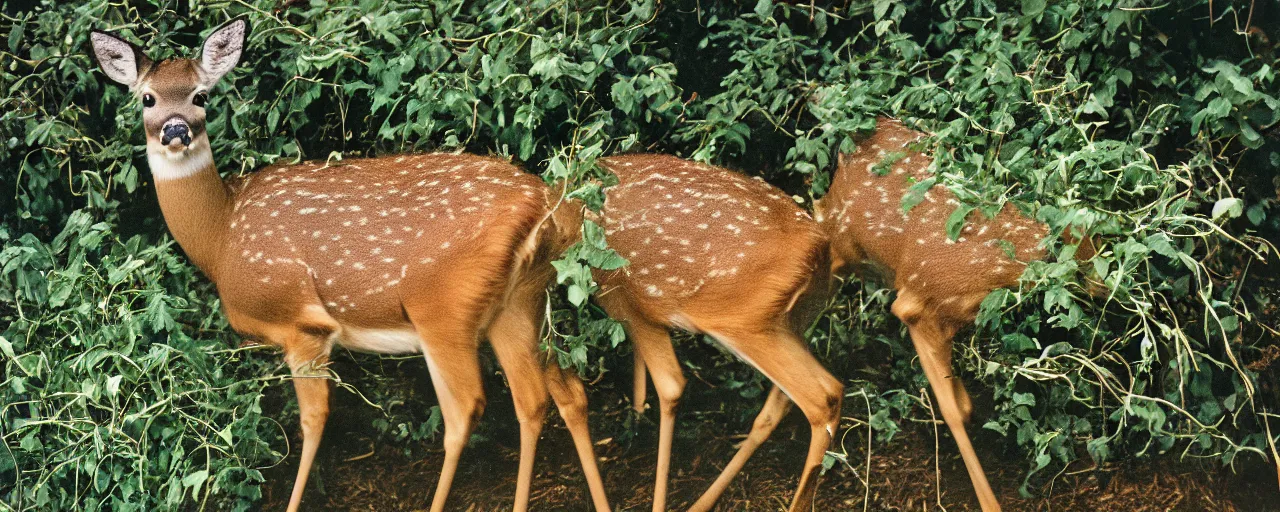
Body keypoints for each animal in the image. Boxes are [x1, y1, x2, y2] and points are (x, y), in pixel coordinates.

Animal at [88, 16, 609, 512]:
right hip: (521, 302)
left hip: (443, 307)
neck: (222, 236)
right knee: (554, 395)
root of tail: (548, 204)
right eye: (148, 98)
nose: (176, 131)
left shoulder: (301, 324)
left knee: (468, 409)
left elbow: (313, 421)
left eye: (201, 95)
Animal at [545, 156, 844, 512]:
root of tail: (821, 252)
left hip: (744, 322)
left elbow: (669, 386)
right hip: (792, 323)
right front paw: (635, 420)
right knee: (784, 403)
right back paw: (703, 502)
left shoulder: (625, 299)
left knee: (824, 396)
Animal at [814, 117, 1095, 512]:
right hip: (839, 237)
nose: (1102, 285)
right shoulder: (918, 304)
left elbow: (962, 404)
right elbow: (952, 411)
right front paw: (990, 504)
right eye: (1084, 250)